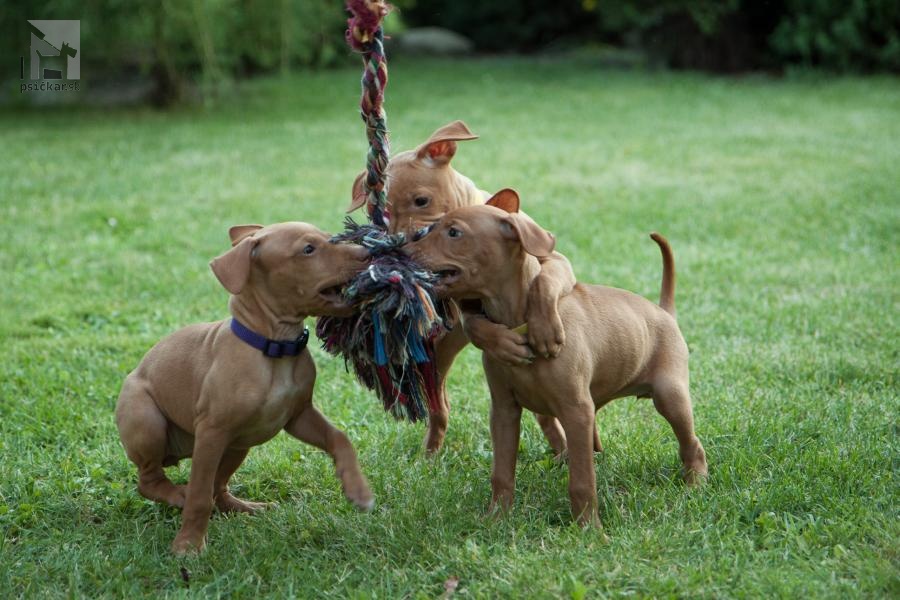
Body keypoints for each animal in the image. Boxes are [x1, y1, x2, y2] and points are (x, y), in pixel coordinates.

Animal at [115, 223, 372, 556]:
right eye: (308, 249)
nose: (367, 252)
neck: (275, 347)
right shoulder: (211, 432)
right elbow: (199, 495)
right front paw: (189, 543)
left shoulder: (298, 415)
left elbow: (339, 438)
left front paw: (357, 489)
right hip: (148, 421)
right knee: (151, 480)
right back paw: (178, 495)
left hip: (240, 443)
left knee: (218, 486)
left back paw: (245, 507)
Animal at [348, 120, 596, 454]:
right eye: (381, 216)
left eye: (421, 201)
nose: (400, 250)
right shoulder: (458, 298)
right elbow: (475, 322)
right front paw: (502, 342)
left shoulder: (555, 260)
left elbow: (544, 282)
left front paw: (545, 330)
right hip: (438, 359)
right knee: (439, 407)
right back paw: (430, 452)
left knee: (544, 414)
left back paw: (561, 447)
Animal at [410, 190, 712, 528]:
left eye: (454, 232)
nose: (403, 249)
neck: (519, 322)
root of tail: (664, 312)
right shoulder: (504, 410)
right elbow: (502, 472)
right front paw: (497, 517)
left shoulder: (576, 409)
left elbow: (581, 481)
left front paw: (588, 529)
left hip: (669, 395)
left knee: (692, 444)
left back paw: (695, 484)